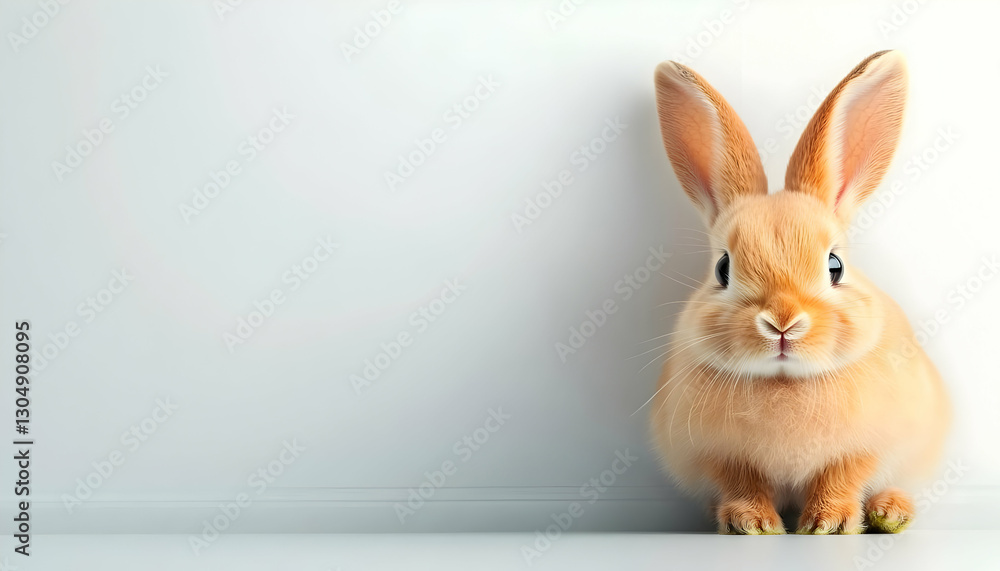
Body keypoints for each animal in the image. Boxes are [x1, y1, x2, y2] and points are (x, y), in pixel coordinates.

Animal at [647, 50, 951, 535]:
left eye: (835, 266)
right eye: (723, 268)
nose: (782, 322)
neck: (785, 382)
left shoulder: (864, 448)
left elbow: (843, 476)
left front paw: (829, 524)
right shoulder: (721, 457)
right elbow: (742, 483)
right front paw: (752, 524)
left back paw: (889, 513)